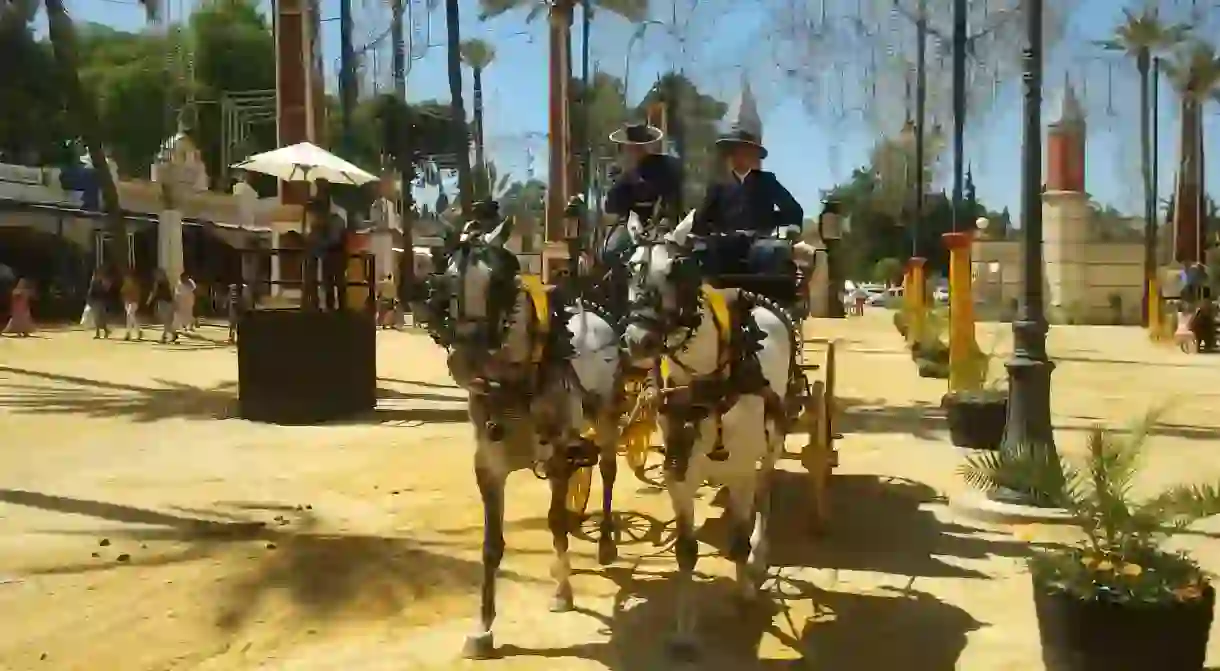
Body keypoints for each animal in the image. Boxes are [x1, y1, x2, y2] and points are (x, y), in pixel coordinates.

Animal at [424, 218, 624, 658]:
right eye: (447, 280)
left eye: (499, 282)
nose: (464, 360)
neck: (516, 380)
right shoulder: (488, 465)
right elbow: (491, 545)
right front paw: (483, 627)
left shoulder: (558, 455)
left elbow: (555, 521)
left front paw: (563, 592)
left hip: (605, 418)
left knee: (606, 470)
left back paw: (604, 543)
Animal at [619, 212, 790, 663]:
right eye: (630, 267)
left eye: (676, 272)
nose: (637, 341)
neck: (707, 383)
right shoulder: (679, 473)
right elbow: (686, 551)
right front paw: (684, 634)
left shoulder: (743, 469)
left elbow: (738, 541)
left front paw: (745, 591)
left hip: (773, 441)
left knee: (766, 492)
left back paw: (761, 555)